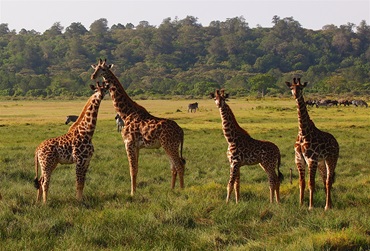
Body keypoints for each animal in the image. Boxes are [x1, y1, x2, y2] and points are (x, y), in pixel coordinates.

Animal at [89, 59, 185, 196]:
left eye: (103, 69)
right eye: (95, 68)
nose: (93, 76)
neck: (126, 113)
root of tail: (181, 131)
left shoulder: (128, 143)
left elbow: (132, 169)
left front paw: (132, 193)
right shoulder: (137, 146)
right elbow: (137, 169)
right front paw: (135, 191)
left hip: (170, 145)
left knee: (179, 165)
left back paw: (182, 190)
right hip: (168, 146)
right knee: (174, 167)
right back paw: (171, 190)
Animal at [288, 78, 340, 210]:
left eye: (301, 88)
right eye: (291, 88)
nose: (295, 95)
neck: (302, 132)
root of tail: (336, 142)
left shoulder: (311, 159)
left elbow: (311, 183)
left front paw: (311, 206)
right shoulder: (299, 159)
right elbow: (302, 183)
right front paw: (301, 204)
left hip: (331, 159)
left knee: (328, 181)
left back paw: (327, 206)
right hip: (321, 162)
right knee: (325, 180)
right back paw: (330, 204)